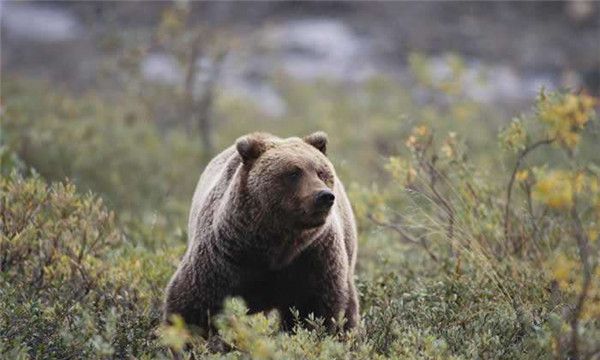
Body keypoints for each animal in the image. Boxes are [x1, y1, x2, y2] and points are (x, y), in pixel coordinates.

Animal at [163, 131, 356, 334]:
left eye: (321, 172)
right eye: (294, 172)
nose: (324, 196)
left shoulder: (313, 256)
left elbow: (314, 309)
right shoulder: (226, 257)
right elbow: (193, 302)